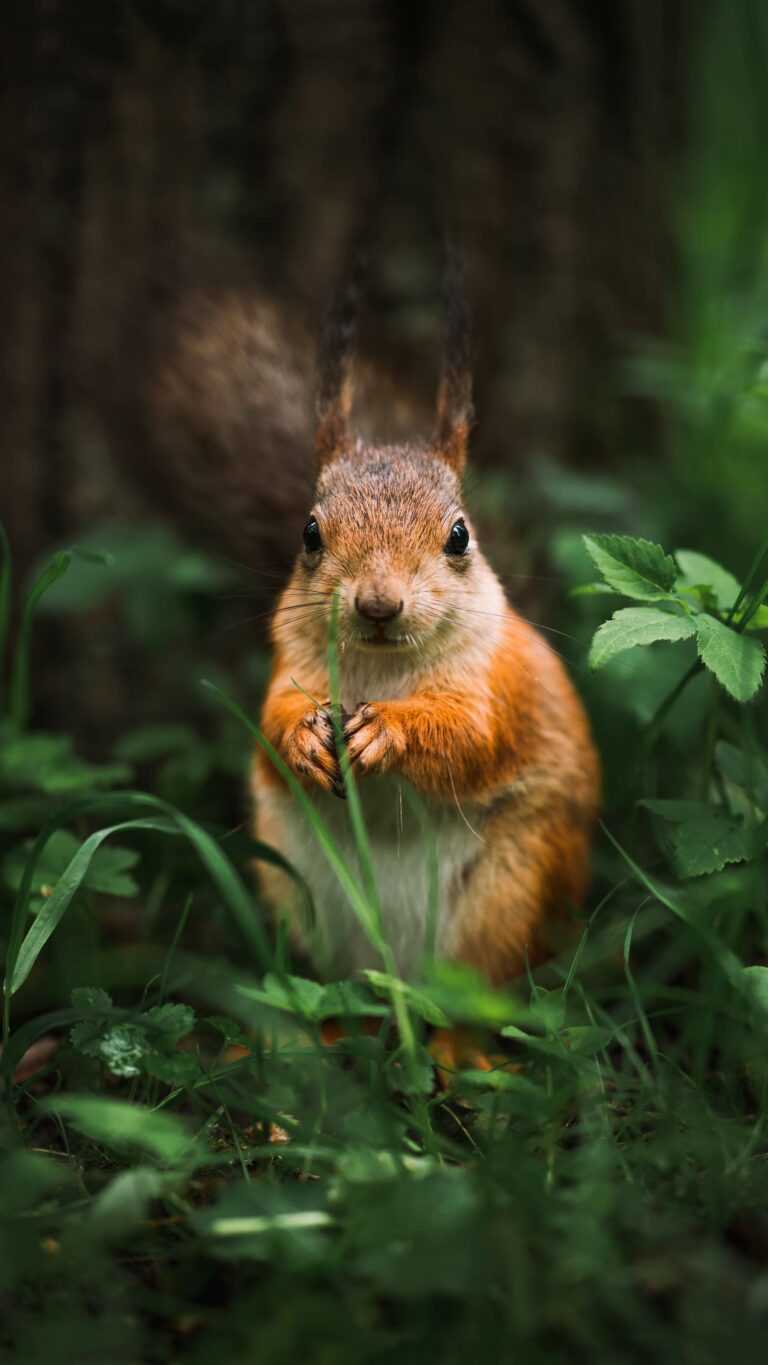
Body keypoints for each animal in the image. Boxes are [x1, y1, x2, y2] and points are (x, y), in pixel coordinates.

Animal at [250, 253, 601, 992]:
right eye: (310, 533)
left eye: (460, 536)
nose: (379, 605)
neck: (383, 669)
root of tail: (397, 970)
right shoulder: (290, 659)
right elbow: (270, 715)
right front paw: (303, 737)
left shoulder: (496, 684)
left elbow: (469, 737)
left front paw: (391, 730)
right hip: (297, 888)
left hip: (515, 883)